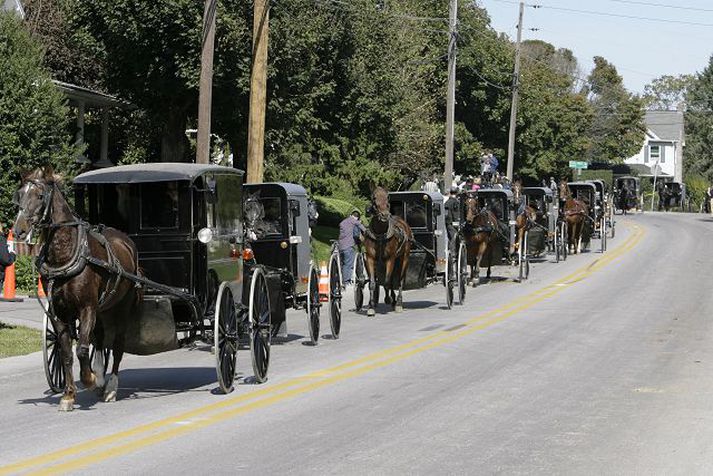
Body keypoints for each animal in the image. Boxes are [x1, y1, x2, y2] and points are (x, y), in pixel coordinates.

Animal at [12, 166, 140, 410]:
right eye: (20, 195)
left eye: (40, 196)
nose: (18, 231)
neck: (66, 253)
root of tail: (126, 242)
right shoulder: (59, 312)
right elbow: (65, 353)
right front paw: (69, 395)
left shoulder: (87, 307)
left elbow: (81, 348)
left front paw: (88, 379)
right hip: (103, 308)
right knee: (99, 338)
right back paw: (100, 377)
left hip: (122, 307)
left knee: (117, 344)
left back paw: (110, 386)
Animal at [362, 187, 412, 316]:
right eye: (374, 198)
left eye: (387, 198)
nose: (385, 214)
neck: (380, 234)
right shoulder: (370, 258)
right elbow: (373, 283)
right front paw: (371, 306)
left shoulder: (390, 258)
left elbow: (387, 281)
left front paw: (388, 299)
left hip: (404, 257)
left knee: (399, 280)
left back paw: (398, 302)